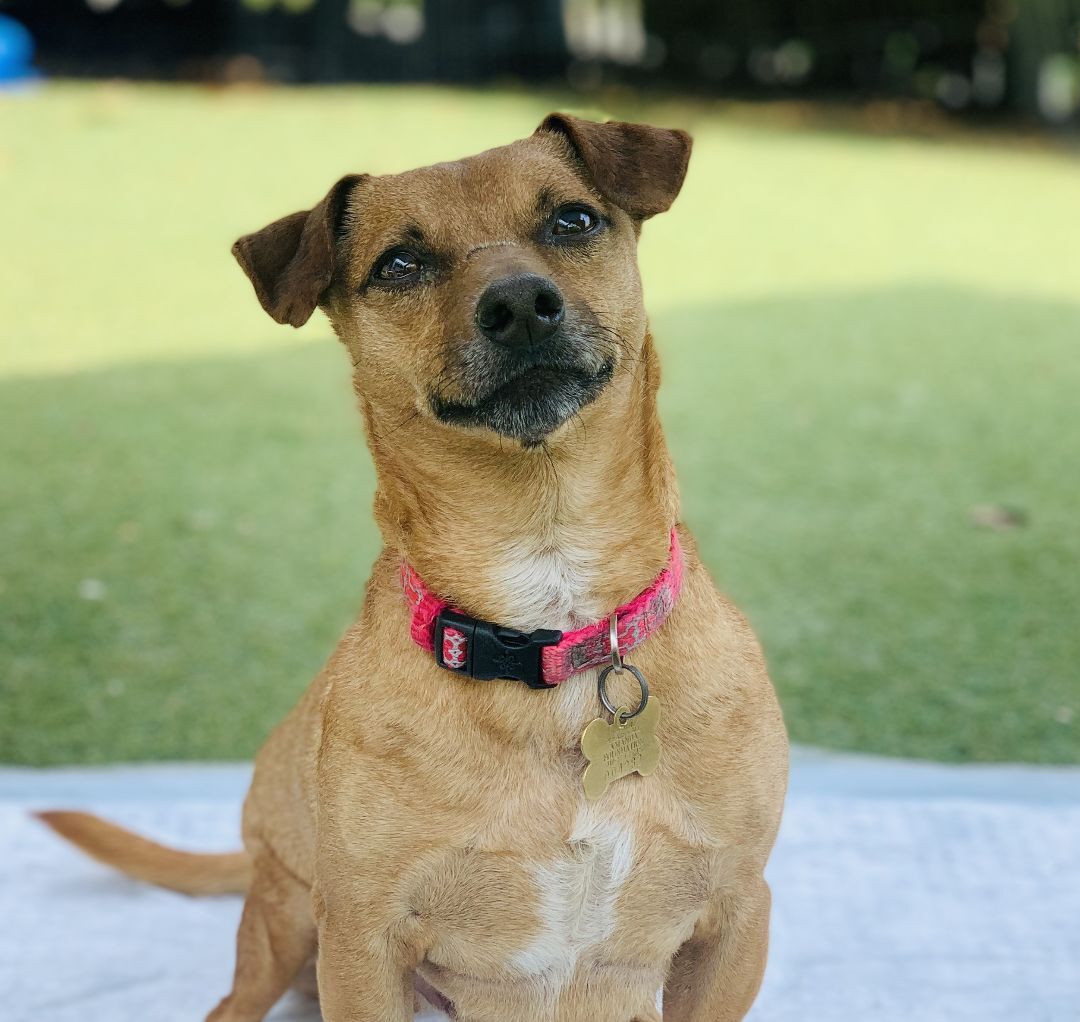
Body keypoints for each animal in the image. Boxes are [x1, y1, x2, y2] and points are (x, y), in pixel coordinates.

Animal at [39, 113, 786, 1019]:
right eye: (399, 263)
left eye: (573, 220)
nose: (519, 305)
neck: (548, 606)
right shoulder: (364, 942)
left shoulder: (737, 916)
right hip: (286, 926)